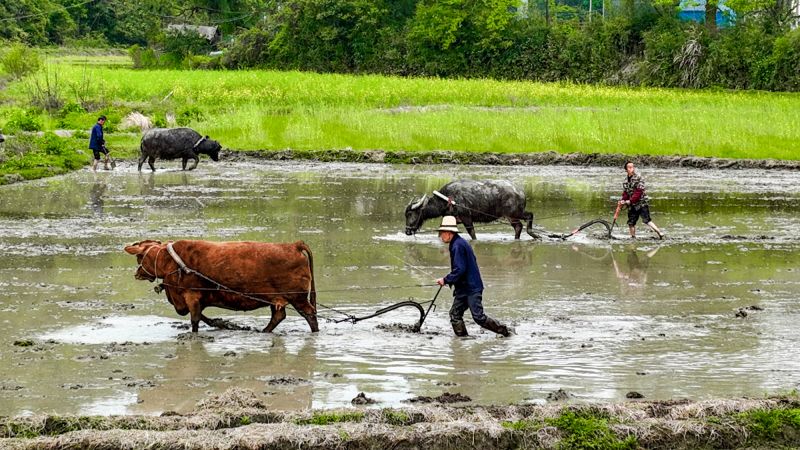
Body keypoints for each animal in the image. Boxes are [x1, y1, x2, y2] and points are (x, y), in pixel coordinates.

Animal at [406, 181, 536, 241]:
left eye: (410, 214)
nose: (407, 231)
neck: (448, 199)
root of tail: (521, 192)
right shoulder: (453, 218)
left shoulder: (466, 217)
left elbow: (472, 232)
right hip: (512, 217)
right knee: (518, 227)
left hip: (515, 213)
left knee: (529, 216)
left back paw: (533, 234)